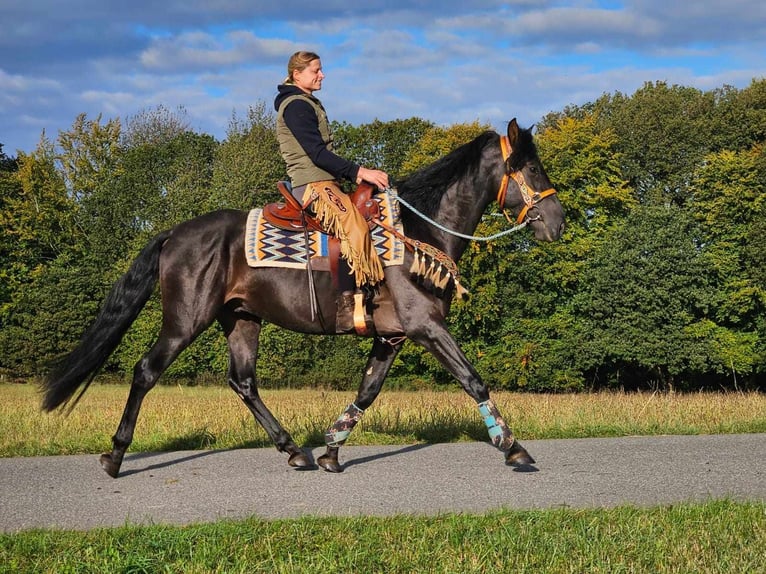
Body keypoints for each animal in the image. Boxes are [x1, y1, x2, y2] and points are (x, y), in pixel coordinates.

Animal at [45, 118, 568, 476]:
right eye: (531, 167)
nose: (558, 222)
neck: (420, 231)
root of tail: (174, 232)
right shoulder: (426, 327)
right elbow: (473, 380)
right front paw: (513, 447)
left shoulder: (392, 337)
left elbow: (367, 391)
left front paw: (332, 450)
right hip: (185, 321)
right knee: (146, 372)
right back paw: (115, 456)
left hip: (241, 319)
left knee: (243, 382)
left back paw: (295, 449)